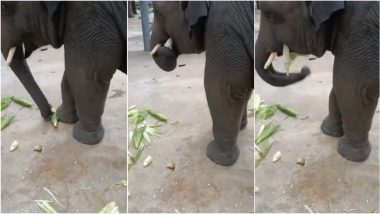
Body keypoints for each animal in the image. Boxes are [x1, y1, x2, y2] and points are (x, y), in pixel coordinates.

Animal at [1, 1, 127, 144]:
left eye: (4, 8)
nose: (49, 114)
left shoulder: (90, 20)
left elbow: (85, 74)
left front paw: (83, 139)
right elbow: (72, 70)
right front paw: (63, 118)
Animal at [150, 0, 254, 166]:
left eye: (157, 12)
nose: (162, 48)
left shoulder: (223, 28)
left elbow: (222, 87)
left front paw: (215, 157)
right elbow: (244, 84)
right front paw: (241, 128)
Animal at [255, 1, 380, 161]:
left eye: (269, 13)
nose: (306, 70)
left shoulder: (361, 30)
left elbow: (353, 87)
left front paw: (349, 155)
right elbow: (339, 82)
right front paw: (329, 132)